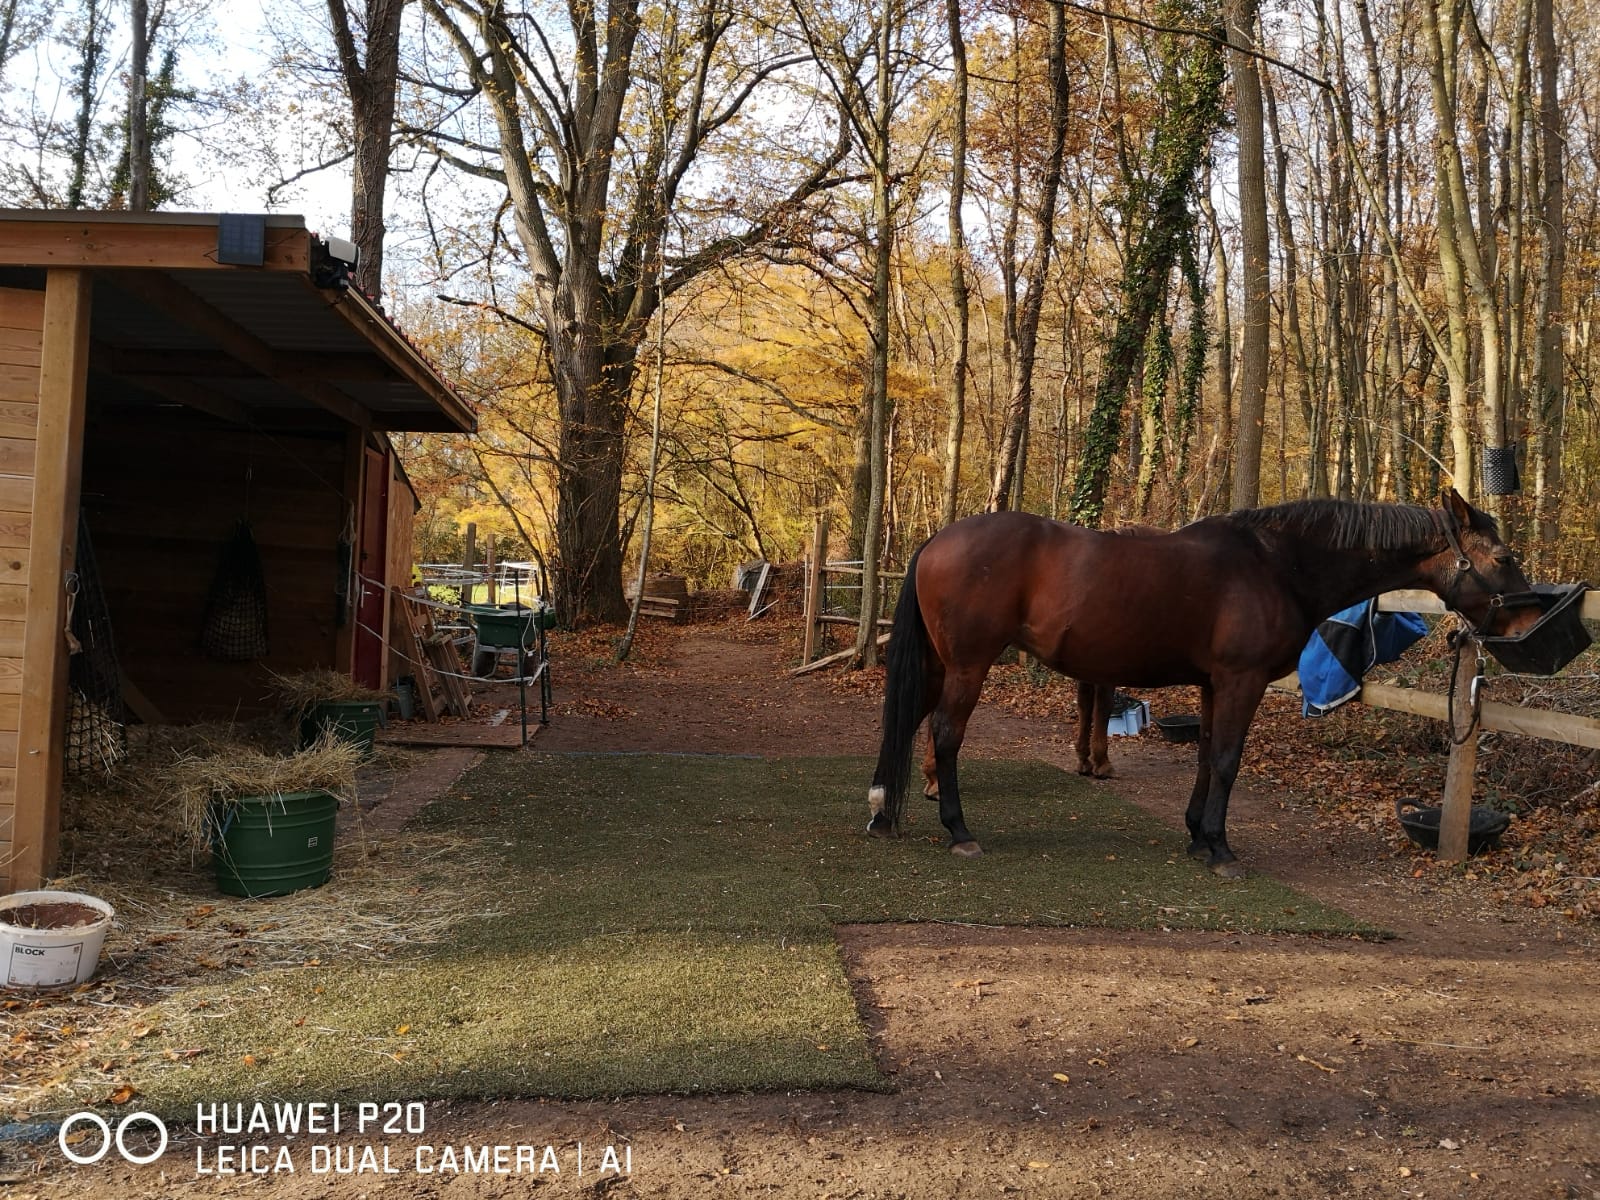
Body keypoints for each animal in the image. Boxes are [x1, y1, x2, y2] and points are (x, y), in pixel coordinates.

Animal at [865, 490, 1540, 876]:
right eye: (1503, 557)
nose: (1530, 622)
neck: (1277, 563)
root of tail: (937, 540)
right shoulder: (1240, 681)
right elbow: (1226, 760)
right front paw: (1219, 848)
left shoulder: (1214, 685)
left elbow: (1205, 757)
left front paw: (1196, 835)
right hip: (967, 666)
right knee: (945, 735)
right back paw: (958, 830)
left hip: (938, 666)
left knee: (907, 723)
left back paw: (881, 813)